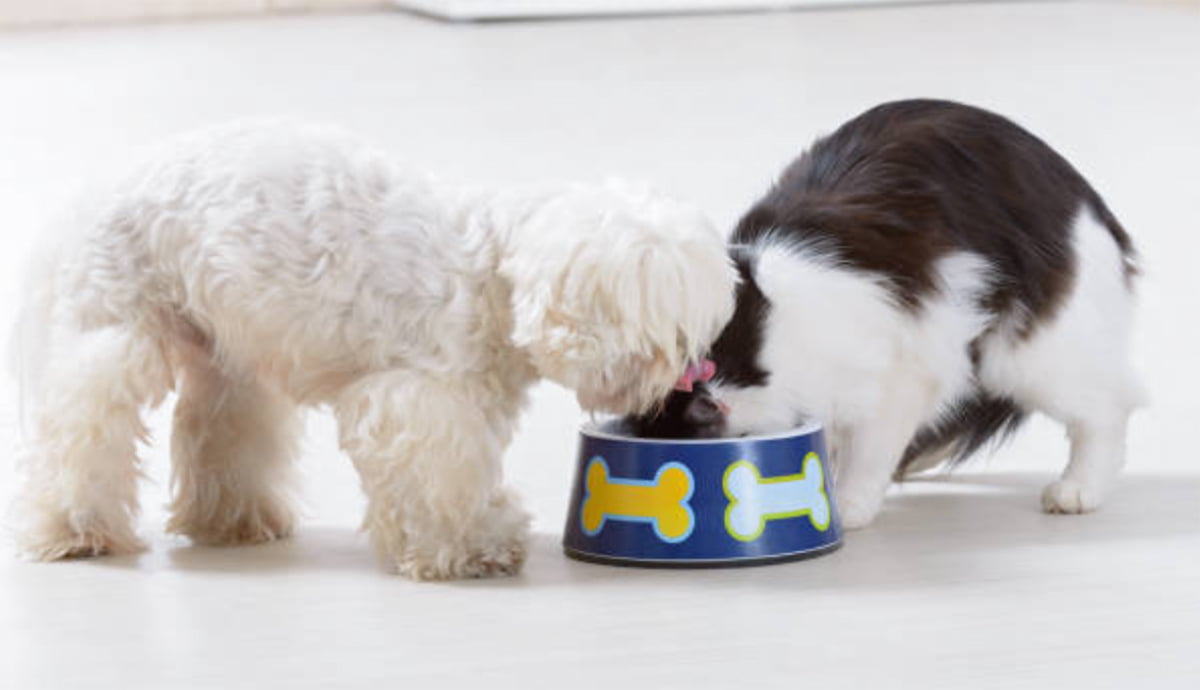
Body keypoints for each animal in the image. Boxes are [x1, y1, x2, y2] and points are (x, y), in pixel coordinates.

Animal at [11, 121, 729, 580]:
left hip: (225, 354)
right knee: (82, 429)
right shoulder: (421, 401)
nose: (696, 372)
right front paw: (472, 547)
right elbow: (444, 478)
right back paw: (73, 531)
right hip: (111, 333)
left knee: (221, 430)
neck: (493, 273)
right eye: (667, 340)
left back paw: (234, 520)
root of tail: (91, 194)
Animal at [628, 98, 1142, 528]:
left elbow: (869, 452)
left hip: (1028, 355)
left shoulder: (901, 374)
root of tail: (1090, 202)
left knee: (1108, 410)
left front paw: (845, 505)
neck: (761, 344)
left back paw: (1078, 490)